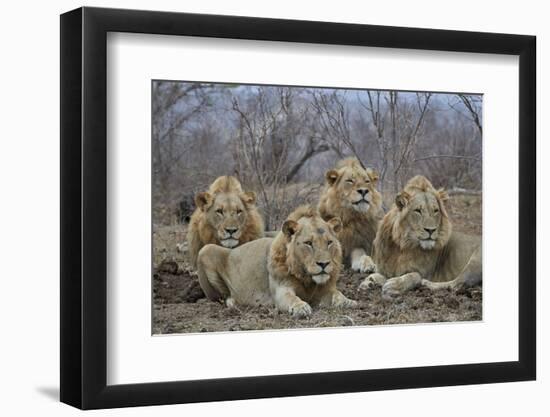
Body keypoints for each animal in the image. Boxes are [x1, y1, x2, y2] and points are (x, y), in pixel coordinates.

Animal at [196, 206, 360, 316]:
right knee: (220, 297)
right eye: (308, 243)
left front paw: (349, 302)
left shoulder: (326, 289)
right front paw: (301, 307)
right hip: (206, 249)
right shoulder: (281, 291)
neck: (307, 278)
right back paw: (232, 302)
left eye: (329, 242)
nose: (324, 264)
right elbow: (292, 298)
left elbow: (338, 294)